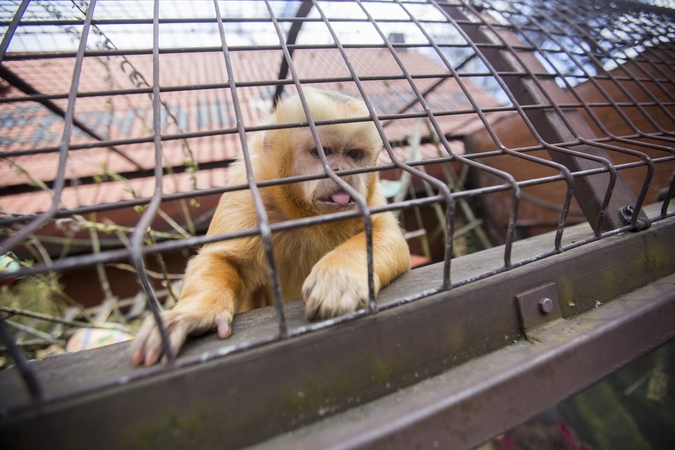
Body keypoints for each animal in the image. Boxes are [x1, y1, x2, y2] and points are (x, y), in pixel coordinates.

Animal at [130, 88, 410, 366]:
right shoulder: (245, 192)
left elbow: (387, 235)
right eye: (322, 152)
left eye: (354, 155)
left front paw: (339, 277)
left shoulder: (371, 193)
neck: (303, 212)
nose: (342, 171)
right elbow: (222, 258)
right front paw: (194, 312)